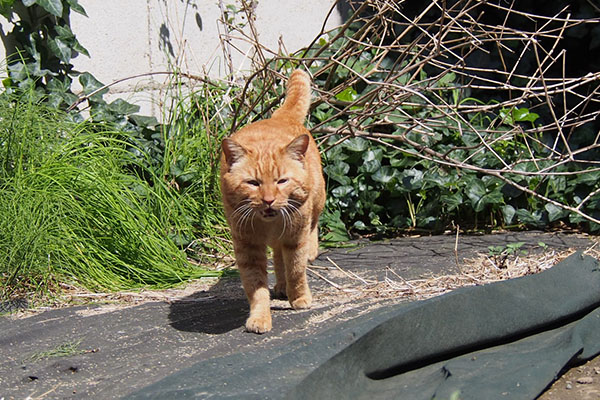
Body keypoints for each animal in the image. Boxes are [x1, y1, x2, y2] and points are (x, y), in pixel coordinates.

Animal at [219, 70, 326, 332]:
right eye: (253, 183)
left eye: (281, 181)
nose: (268, 200)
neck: (269, 223)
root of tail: (279, 117)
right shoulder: (248, 248)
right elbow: (256, 288)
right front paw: (260, 317)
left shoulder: (295, 238)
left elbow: (296, 270)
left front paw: (299, 297)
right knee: (278, 257)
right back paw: (280, 286)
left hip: (316, 202)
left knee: (312, 229)